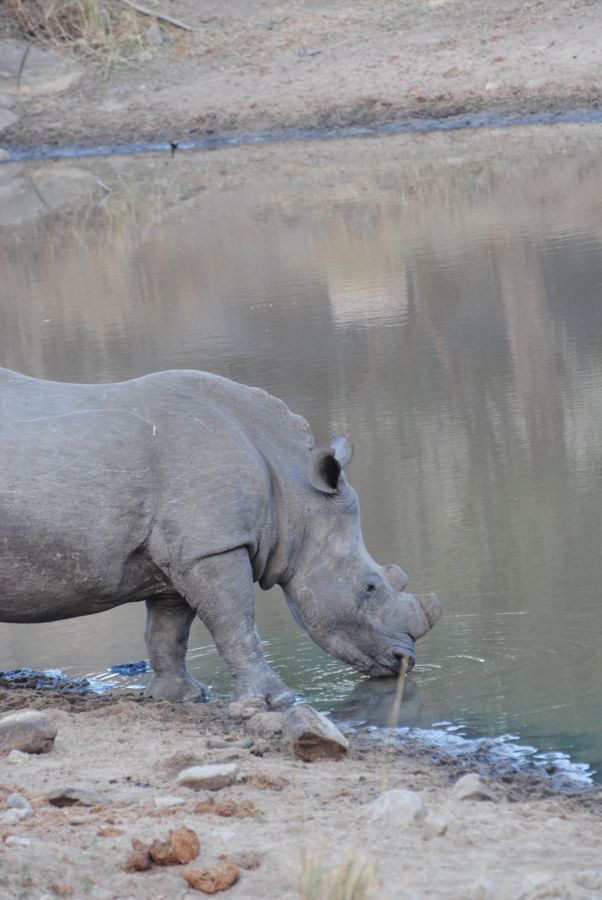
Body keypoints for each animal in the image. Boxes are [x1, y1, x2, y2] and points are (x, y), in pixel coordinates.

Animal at [0, 368, 442, 706]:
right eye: (370, 587)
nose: (405, 661)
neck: (295, 494)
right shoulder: (214, 547)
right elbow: (236, 624)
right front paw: (277, 701)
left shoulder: (184, 554)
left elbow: (168, 631)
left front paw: (180, 697)